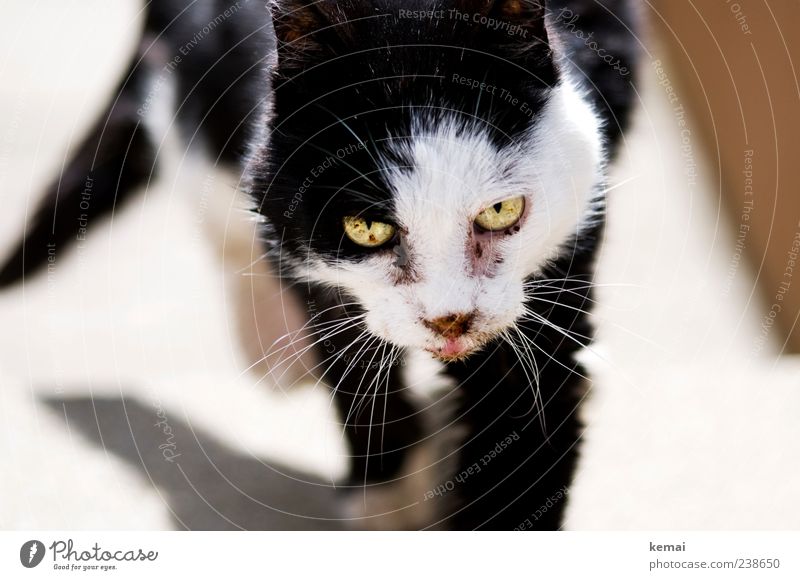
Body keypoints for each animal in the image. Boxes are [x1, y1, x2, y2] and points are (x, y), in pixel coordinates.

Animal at [0, 0, 636, 532]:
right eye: (367, 228)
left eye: (500, 211)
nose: (450, 319)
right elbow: (344, 358)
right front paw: (381, 494)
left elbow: (525, 417)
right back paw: (273, 351)